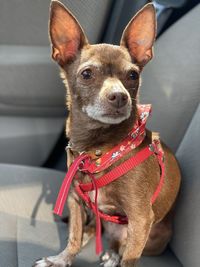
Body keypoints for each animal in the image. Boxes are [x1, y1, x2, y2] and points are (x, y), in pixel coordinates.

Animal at [34, 1, 181, 266]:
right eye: (86, 74)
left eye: (133, 75)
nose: (120, 96)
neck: (98, 151)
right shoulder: (76, 201)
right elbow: (74, 237)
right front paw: (61, 259)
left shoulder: (141, 219)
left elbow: (129, 258)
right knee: (95, 230)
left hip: (153, 235)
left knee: (120, 245)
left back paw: (113, 255)